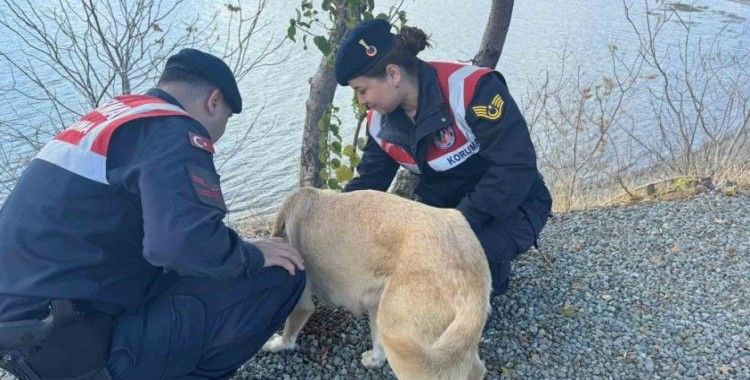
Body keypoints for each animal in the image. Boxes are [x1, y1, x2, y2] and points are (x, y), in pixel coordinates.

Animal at [262, 189, 490, 378]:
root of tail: (469, 273)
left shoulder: (302, 304)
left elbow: (288, 335)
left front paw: (275, 344)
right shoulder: (373, 302)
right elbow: (377, 342)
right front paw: (375, 359)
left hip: (404, 342)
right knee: (475, 368)